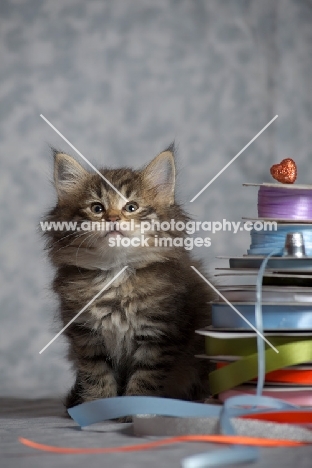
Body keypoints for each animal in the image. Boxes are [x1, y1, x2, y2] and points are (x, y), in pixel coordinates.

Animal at [44, 144, 212, 408]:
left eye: (131, 207)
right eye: (97, 208)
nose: (113, 218)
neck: (116, 274)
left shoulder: (157, 335)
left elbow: (144, 379)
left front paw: (134, 409)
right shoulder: (86, 337)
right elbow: (97, 376)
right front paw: (99, 405)